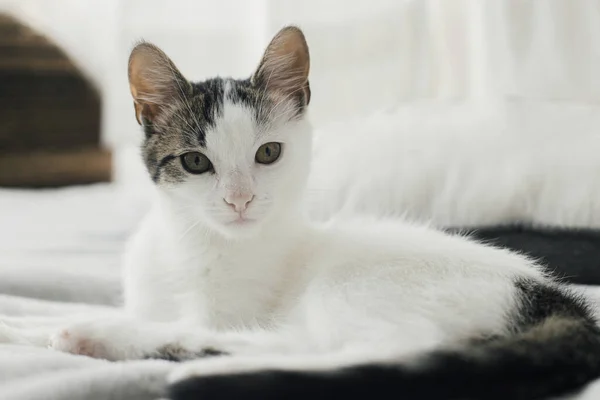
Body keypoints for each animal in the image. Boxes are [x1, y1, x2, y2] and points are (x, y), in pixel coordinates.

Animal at [3, 25, 600, 400]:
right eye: (195, 162)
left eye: (268, 153)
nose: (239, 199)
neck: (194, 241)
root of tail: (545, 290)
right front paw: (23, 324)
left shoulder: (224, 310)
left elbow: (196, 321)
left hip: (355, 288)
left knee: (359, 348)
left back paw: (141, 348)